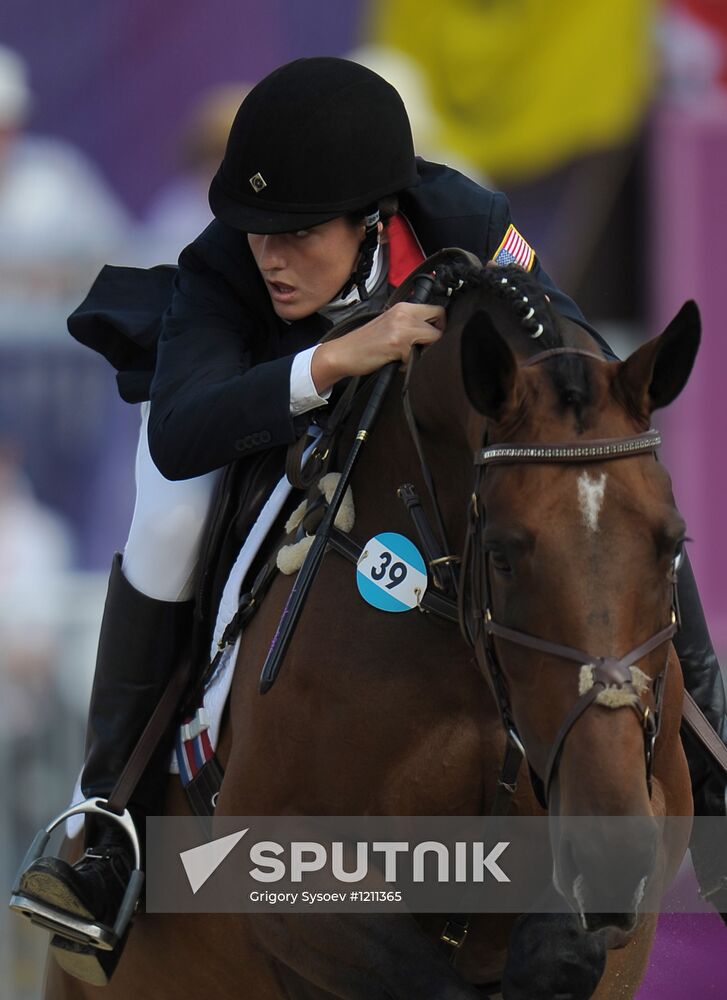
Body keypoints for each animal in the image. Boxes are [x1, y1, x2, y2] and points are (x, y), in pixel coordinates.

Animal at [47, 266, 700, 1000]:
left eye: (672, 544)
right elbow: (422, 978)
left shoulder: (644, 831)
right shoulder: (279, 861)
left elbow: (565, 949)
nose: (607, 846)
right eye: (501, 554)